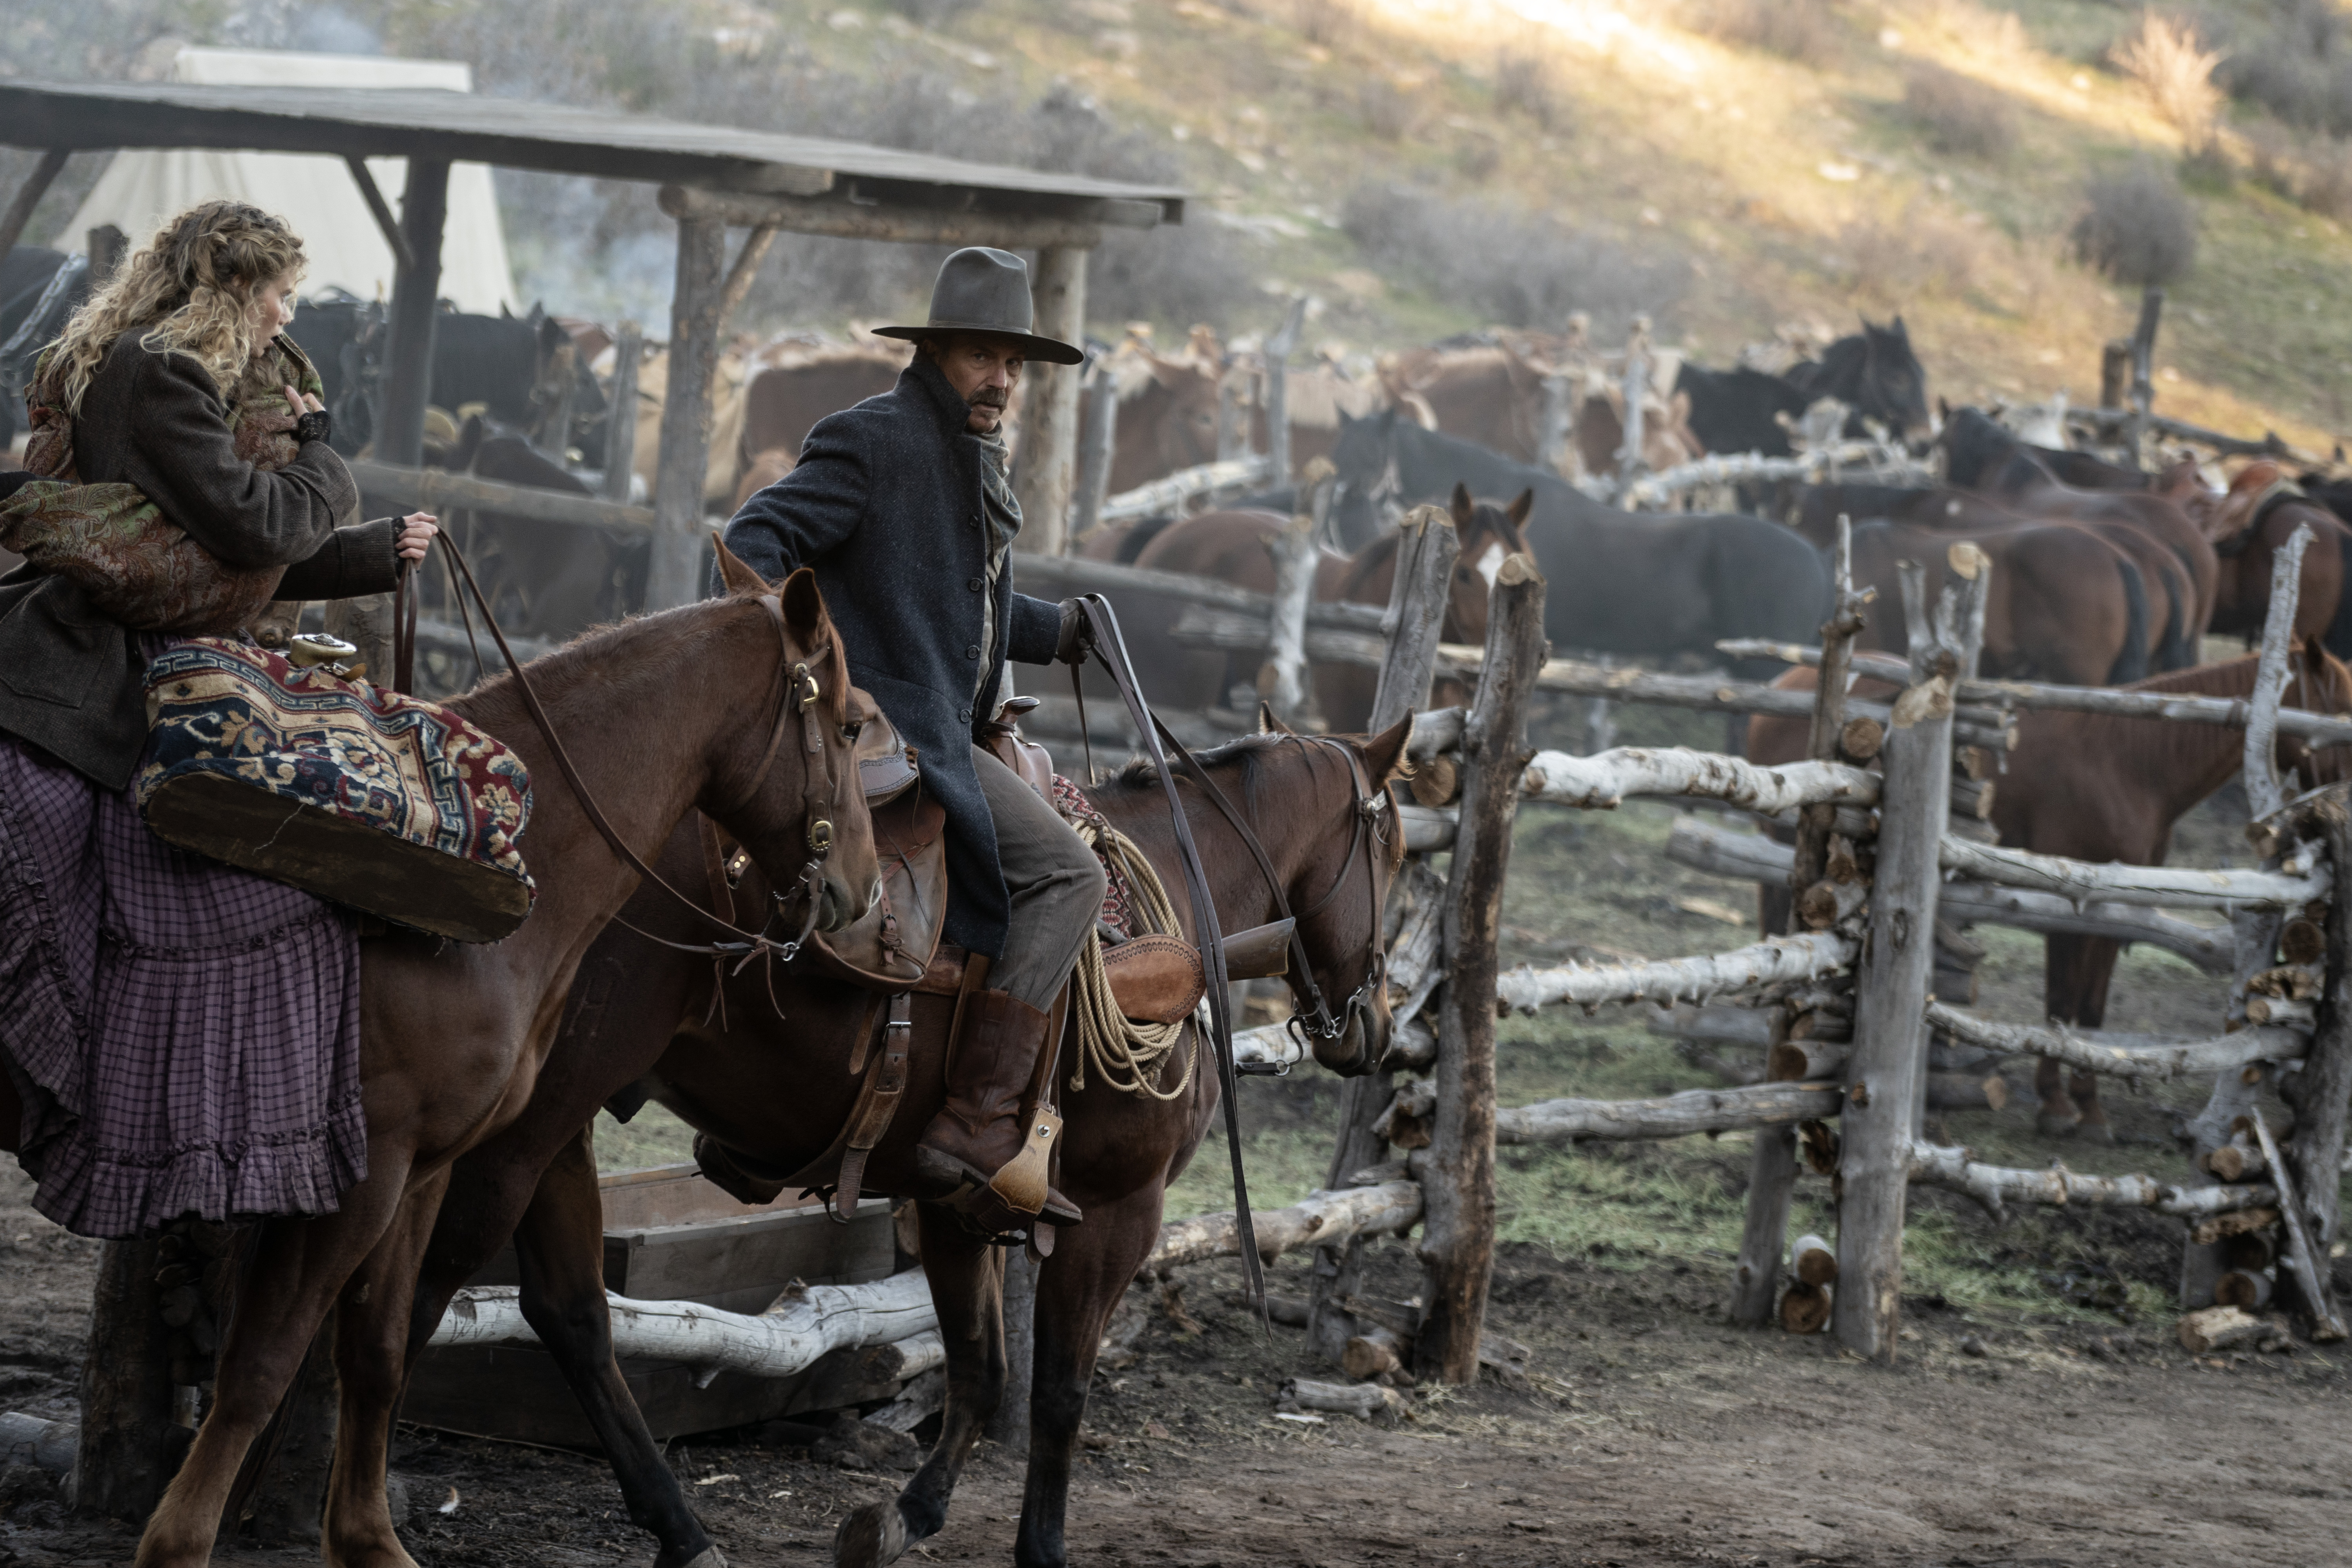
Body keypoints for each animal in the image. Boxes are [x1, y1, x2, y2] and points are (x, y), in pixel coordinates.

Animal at [383, 644, 1411, 1561]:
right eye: (1395, 853)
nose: (1375, 1025)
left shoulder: (952, 1199)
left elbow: (981, 1367)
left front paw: (907, 1515)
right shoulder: (1122, 1207)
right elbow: (1058, 1391)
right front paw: (1039, 1544)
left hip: (558, 1123)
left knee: (569, 1312)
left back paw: (679, 1529)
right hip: (532, 1119)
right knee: (430, 1286)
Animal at [1750, 649, 2352, 1142]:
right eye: (2340, 709)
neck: (2129, 764)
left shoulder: (2115, 908)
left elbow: (2089, 1010)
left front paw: (2090, 1109)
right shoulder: (2073, 908)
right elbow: (2062, 1004)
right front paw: (2061, 1106)